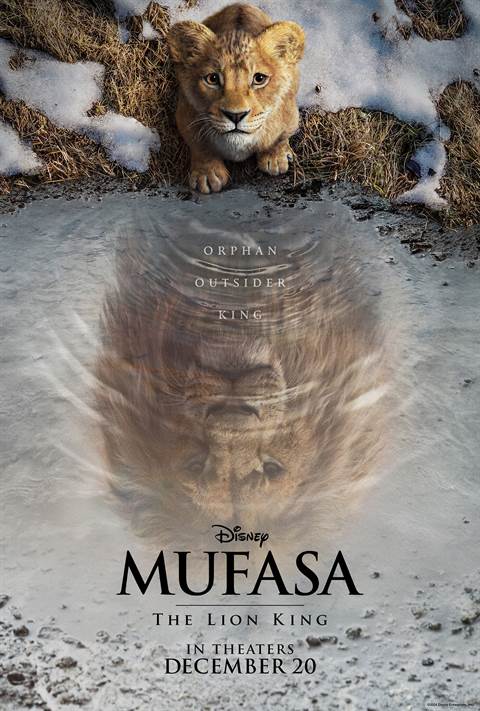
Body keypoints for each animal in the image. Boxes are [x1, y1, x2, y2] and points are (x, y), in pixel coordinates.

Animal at [167, 3, 305, 193]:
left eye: (259, 78)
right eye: (212, 79)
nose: (236, 115)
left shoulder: (290, 115)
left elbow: (279, 137)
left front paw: (276, 158)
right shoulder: (185, 114)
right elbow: (199, 145)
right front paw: (207, 174)